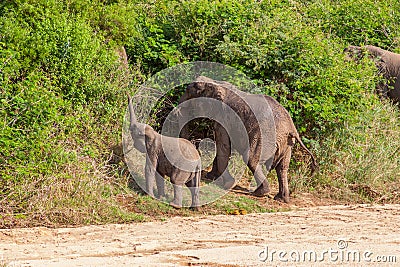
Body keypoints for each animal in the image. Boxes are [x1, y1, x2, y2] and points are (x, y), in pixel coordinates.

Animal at [177, 76, 318, 204]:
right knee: (282, 168)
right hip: (286, 144)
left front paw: (226, 184)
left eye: (189, 92)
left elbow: (223, 146)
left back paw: (260, 193)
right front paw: (211, 177)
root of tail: (291, 128)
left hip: (264, 136)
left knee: (251, 159)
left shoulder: (223, 117)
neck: (217, 83)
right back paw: (281, 199)